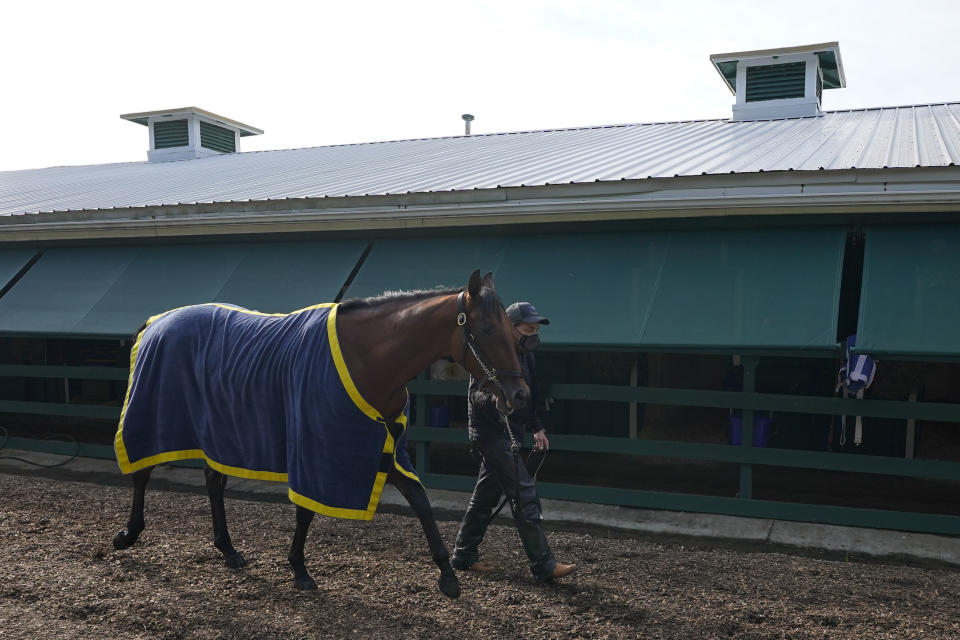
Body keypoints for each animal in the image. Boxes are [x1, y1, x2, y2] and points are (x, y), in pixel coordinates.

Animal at [113, 268, 532, 596]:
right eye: (486, 327)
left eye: (511, 330)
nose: (520, 394)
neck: (368, 357)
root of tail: (157, 322)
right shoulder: (317, 443)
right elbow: (306, 511)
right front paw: (299, 570)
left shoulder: (387, 447)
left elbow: (421, 501)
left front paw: (447, 575)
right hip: (154, 417)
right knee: (142, 471)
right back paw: (128, 534)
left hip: (218, 432)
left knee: (214, 483)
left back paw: (228, 550)